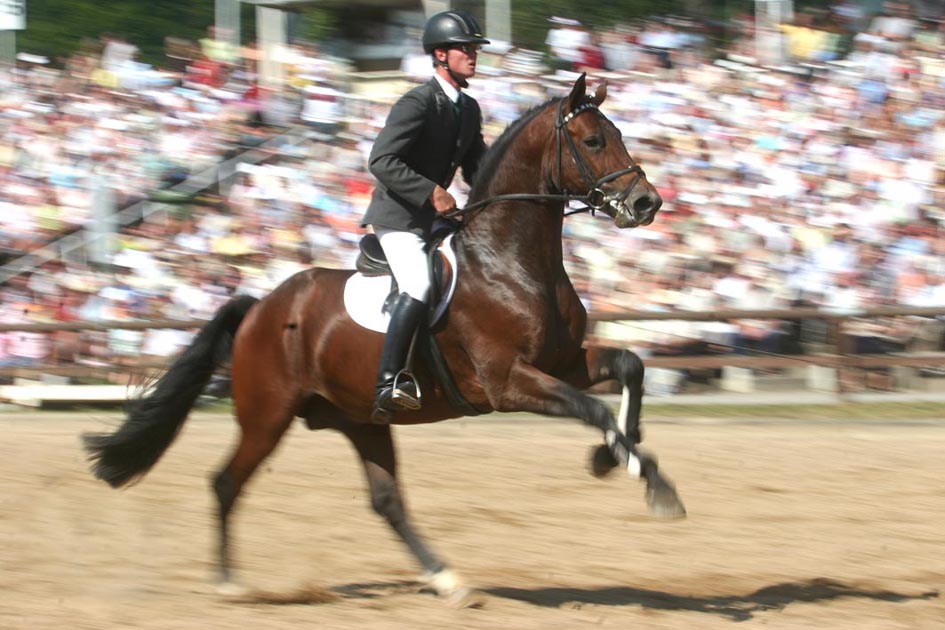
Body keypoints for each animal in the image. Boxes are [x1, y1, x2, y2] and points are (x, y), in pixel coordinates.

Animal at [83, 74, 684, 608]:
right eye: (593, 141)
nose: (647, 203)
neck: (509, 259)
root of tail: (260, 308)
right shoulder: (508, 382)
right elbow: (593, 409)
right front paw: (650, 481)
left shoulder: (562, 362)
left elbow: (630, 368)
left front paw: (616, 456)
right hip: (267, 415)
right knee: (227, 482)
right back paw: (229, 584)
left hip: (361, 420)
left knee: (386, 500)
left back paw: (448, 582)